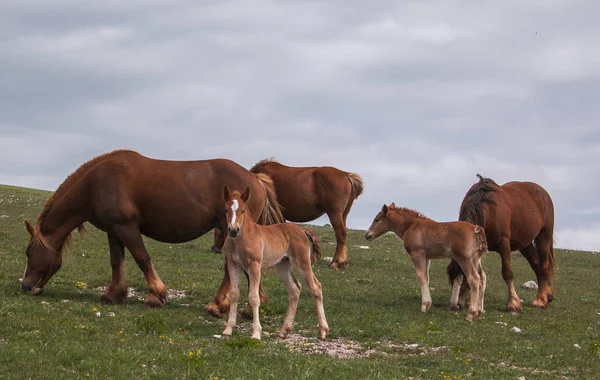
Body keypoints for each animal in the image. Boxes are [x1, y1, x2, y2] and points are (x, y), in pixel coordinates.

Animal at [21, 150, 284, 314]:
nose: (25, 286)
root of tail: (255, 179)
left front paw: (156, 296)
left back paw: (216, 305)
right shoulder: (113, 231)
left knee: (230, 269)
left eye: (28, 253)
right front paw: (114, 294)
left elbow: (142, 258)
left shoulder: (127, 227)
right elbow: (116, 262)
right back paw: (248, 307)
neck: (96, 183)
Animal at [220, 186, 328, 340]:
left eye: (243, 210)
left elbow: (254, 297)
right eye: (226, 210)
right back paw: (284, 330)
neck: (240, 240)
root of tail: (302, 230)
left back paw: (323, 330)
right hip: (282, 265)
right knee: (295, 289)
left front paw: (256, 334)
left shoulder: (254, 265)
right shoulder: (234, 264)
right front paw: (228, 329)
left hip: (302, 262)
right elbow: (234, 294)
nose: (233, 230)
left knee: (316, 288)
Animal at [448, 174, 556, 314]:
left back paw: (540, 300)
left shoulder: (504, 243)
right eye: (451, 280)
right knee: (536, 264)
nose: (455, 305)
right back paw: (547, 295)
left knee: (543, 266)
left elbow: (507, 273)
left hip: (544, 235)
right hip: (525, 244)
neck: (488, 210)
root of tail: (543, 193)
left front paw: (513, 304)